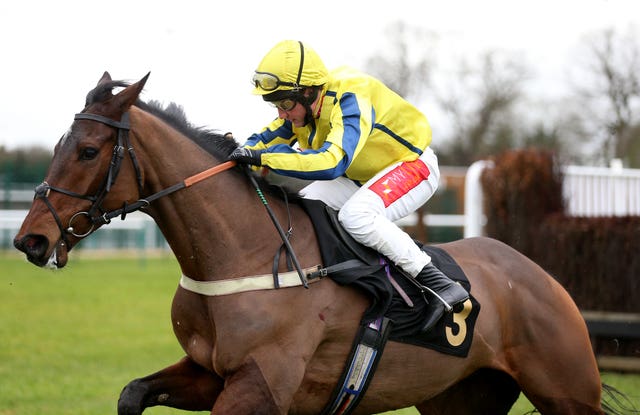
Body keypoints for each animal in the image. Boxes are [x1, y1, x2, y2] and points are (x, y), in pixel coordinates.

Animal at [12, 73, 616, 414]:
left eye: (88, 150)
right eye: (61, 144)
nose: (30, 239)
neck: (246, 253)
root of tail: (539, 274)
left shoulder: (260, 386)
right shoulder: (210, 373)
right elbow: (132, 394)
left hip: (568, 389)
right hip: (459, 398)